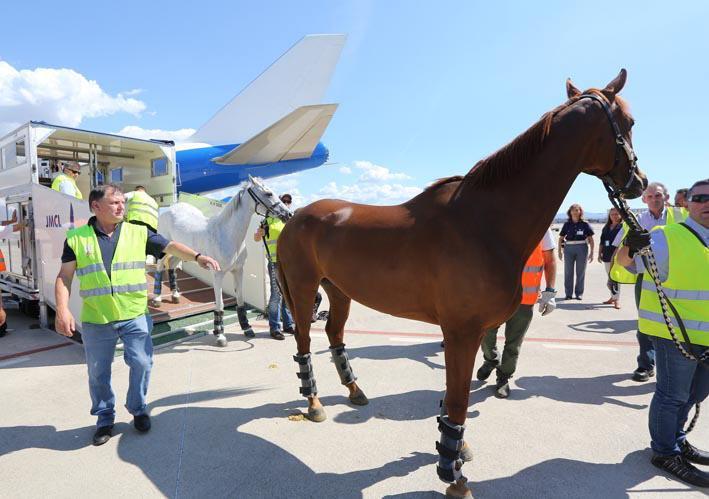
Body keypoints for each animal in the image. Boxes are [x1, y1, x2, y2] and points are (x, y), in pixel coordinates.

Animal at [156, 175, 291, 347]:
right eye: (268, 193)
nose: (288, 214)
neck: (227, 234)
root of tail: (170, 209)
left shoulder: (238, 271)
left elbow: (240, 299)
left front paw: (247, 328)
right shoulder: (218, 274)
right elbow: (219, 304)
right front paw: (220, 335)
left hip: (180, 252)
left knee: (172, 266)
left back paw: (175, 296)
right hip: (164, 249)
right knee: (160, 266)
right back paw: (157, 299)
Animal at [276, 70, 647, 496]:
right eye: (629, 122)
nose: (639, 182)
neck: (485, 222)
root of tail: (295, 218)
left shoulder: (470, 332)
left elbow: (457, 397)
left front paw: (455, 451)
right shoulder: (462, 333)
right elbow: (456, 403)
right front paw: (453, 476)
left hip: (338, 290)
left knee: (335, 334)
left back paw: (354, 391)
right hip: (304, 290)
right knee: (304, 340)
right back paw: (314, 403)